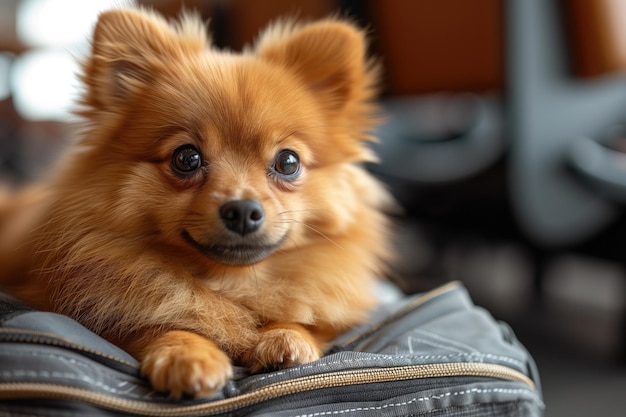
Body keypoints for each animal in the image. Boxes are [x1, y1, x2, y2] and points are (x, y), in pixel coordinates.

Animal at [0, 6, 392, 396]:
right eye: (186, 158)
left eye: (288, 162)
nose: (242, 210)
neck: (232, 283)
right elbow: (158, 317)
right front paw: (186, 352)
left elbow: (310, 317)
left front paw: (286, 336)